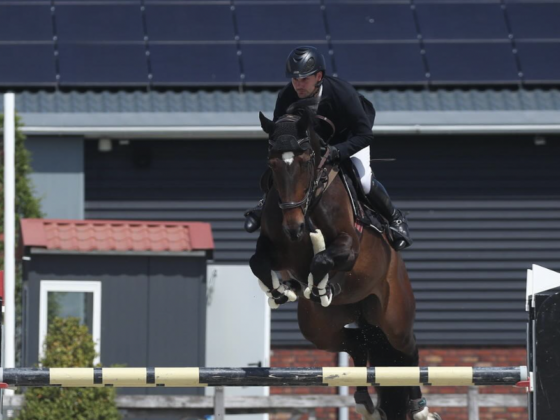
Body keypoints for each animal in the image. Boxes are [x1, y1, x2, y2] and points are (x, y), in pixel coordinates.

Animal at [250, 102, 442, 420]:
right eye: (272, 164)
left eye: (305, 162)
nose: (294, 228)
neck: (311, 200)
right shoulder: (275, 247)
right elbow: (257, 262)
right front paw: (282, 290)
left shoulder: (349, 248)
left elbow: (322, 259)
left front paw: (318, 286)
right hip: (320, 328)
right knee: (356, 343)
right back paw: (365, 402)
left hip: (393, 316)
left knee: (407, 350)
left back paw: (420, 410)